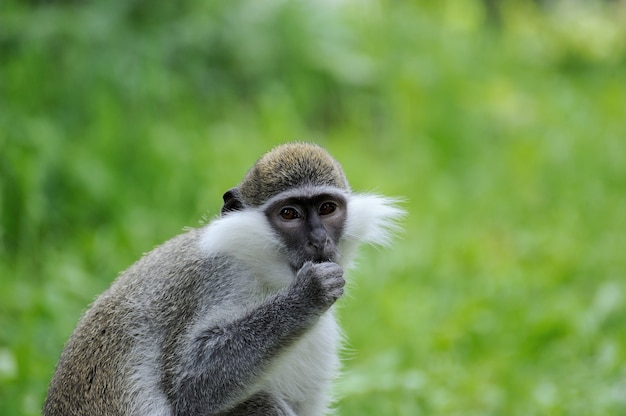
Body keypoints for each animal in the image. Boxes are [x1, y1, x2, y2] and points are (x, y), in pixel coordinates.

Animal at [41, 141, 402, 414]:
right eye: (289, 214)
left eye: (327, 208)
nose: (319, 240)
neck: (262, 272)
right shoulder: (212, 281)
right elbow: (188, 389)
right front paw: (307, 296)